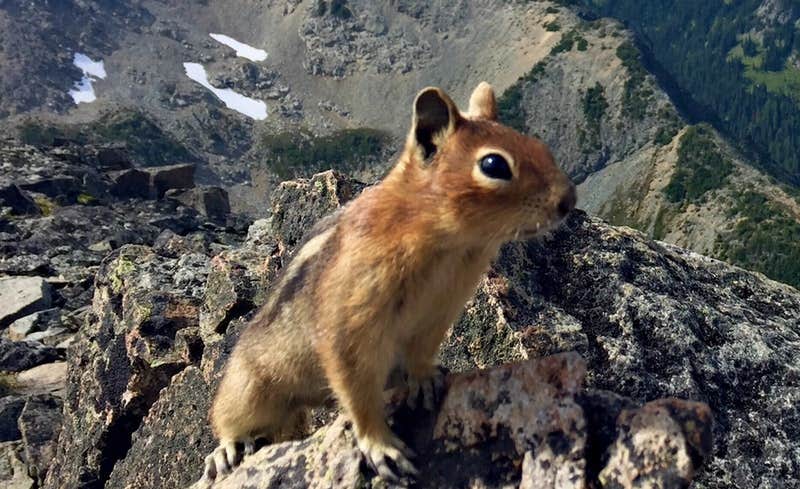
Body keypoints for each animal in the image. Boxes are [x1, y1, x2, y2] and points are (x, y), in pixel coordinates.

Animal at [200, 82, 576, 482]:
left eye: (541, 146)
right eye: (494, 165)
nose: (569, 200)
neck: (449, 243)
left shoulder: (438, 313)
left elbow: (421, 352)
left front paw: (424, 379)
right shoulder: (352, 322)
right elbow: (357, 388)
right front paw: (380, 446)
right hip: (248, 388)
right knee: (230, 418)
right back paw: (225, 451)